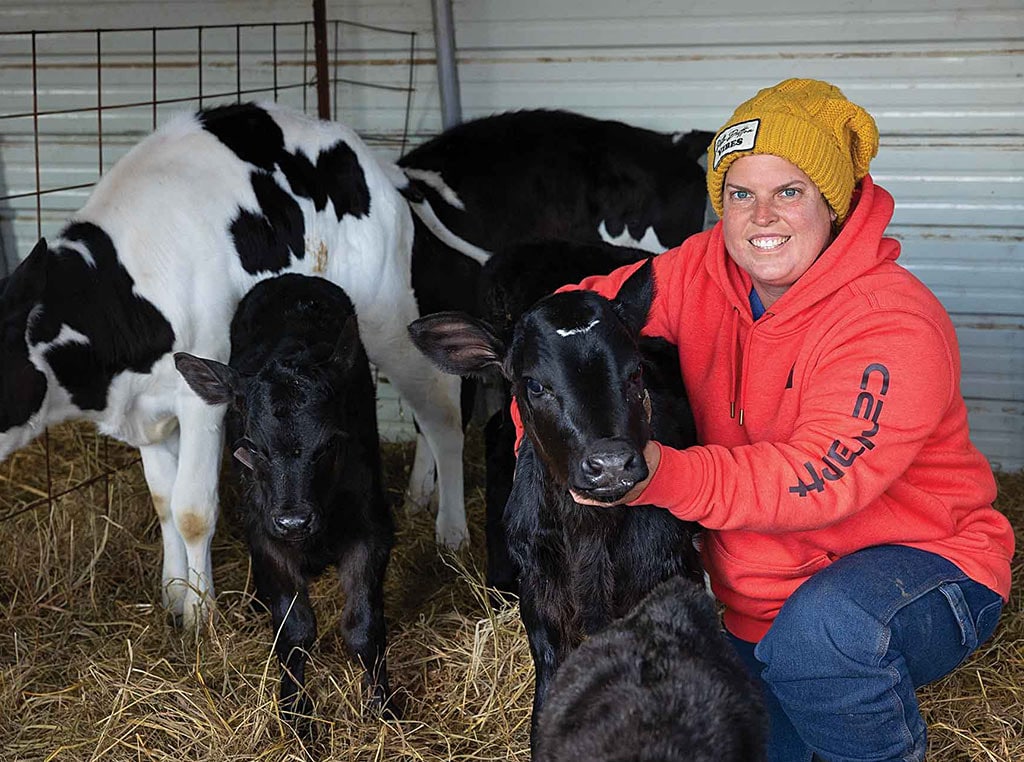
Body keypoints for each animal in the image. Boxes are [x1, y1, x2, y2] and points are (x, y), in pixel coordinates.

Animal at [0, 101, 464, 630]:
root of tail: (371, 159)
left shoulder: (201, 396)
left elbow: (192, 508)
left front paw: (201, 616)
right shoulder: (147, 413)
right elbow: (164, 502)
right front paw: (173, 593)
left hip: (390, 313)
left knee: (440, 410)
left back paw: (452, 532)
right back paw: (418, 496)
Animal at [176, 274, 391, 725]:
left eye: (329, 444)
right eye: (251, 448)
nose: (294, 521)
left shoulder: (372, 526)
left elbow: (363, 625)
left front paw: (384, 706)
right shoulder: (264, 534)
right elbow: (294, 629)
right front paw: (295, 713)